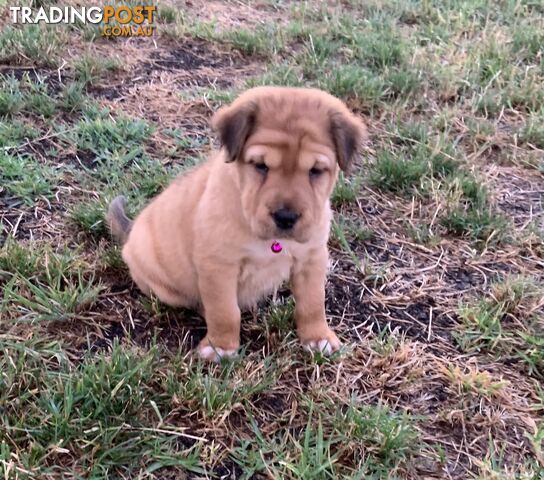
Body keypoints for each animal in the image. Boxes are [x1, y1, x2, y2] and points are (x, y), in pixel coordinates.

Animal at [108, 86, 368, 362]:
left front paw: (318, 337)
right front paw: (221, 346)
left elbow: (313, 303)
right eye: (261, 166)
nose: (285, 217)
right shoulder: (218, 266)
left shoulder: (312, 258)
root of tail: (131, 230)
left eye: (316, 170)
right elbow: (224, 311)